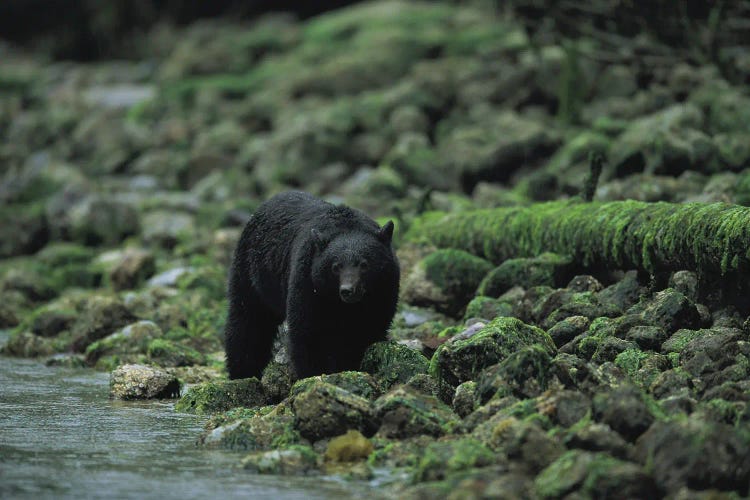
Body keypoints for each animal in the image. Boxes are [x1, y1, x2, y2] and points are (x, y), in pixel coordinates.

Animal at [226, 191, 402, 378]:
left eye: (364, 264)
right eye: (336, 267)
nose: (348, 290)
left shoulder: (383, 289)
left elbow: (367, 329)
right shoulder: (308, 282)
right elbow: (307, 332)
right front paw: (313, 374)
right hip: (252, 274)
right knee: (248, 321)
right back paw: (242, 372)